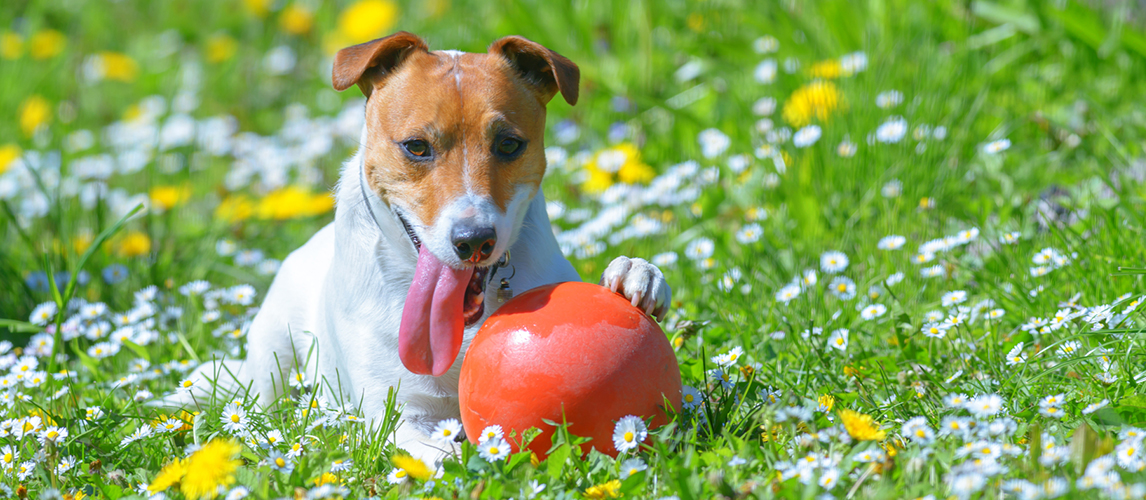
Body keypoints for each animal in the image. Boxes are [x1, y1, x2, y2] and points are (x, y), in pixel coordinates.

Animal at [178, 30, 669, 461]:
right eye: (416, 147)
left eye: (509, 144)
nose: (474, 240)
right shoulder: (400, 414)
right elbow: (435, 452)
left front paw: (633, 274)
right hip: (274, 355)